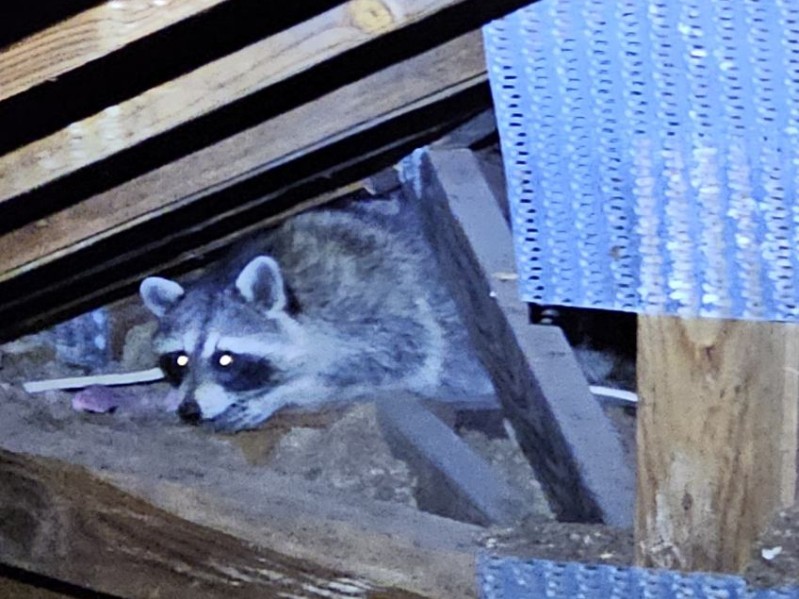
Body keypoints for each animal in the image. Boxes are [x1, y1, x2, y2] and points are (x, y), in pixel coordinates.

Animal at [140, 197, 493, 432]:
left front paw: (284, 392)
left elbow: (385, 362)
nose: (189, 410)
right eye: (179, 360)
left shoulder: (375, 309)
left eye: (225, 358)